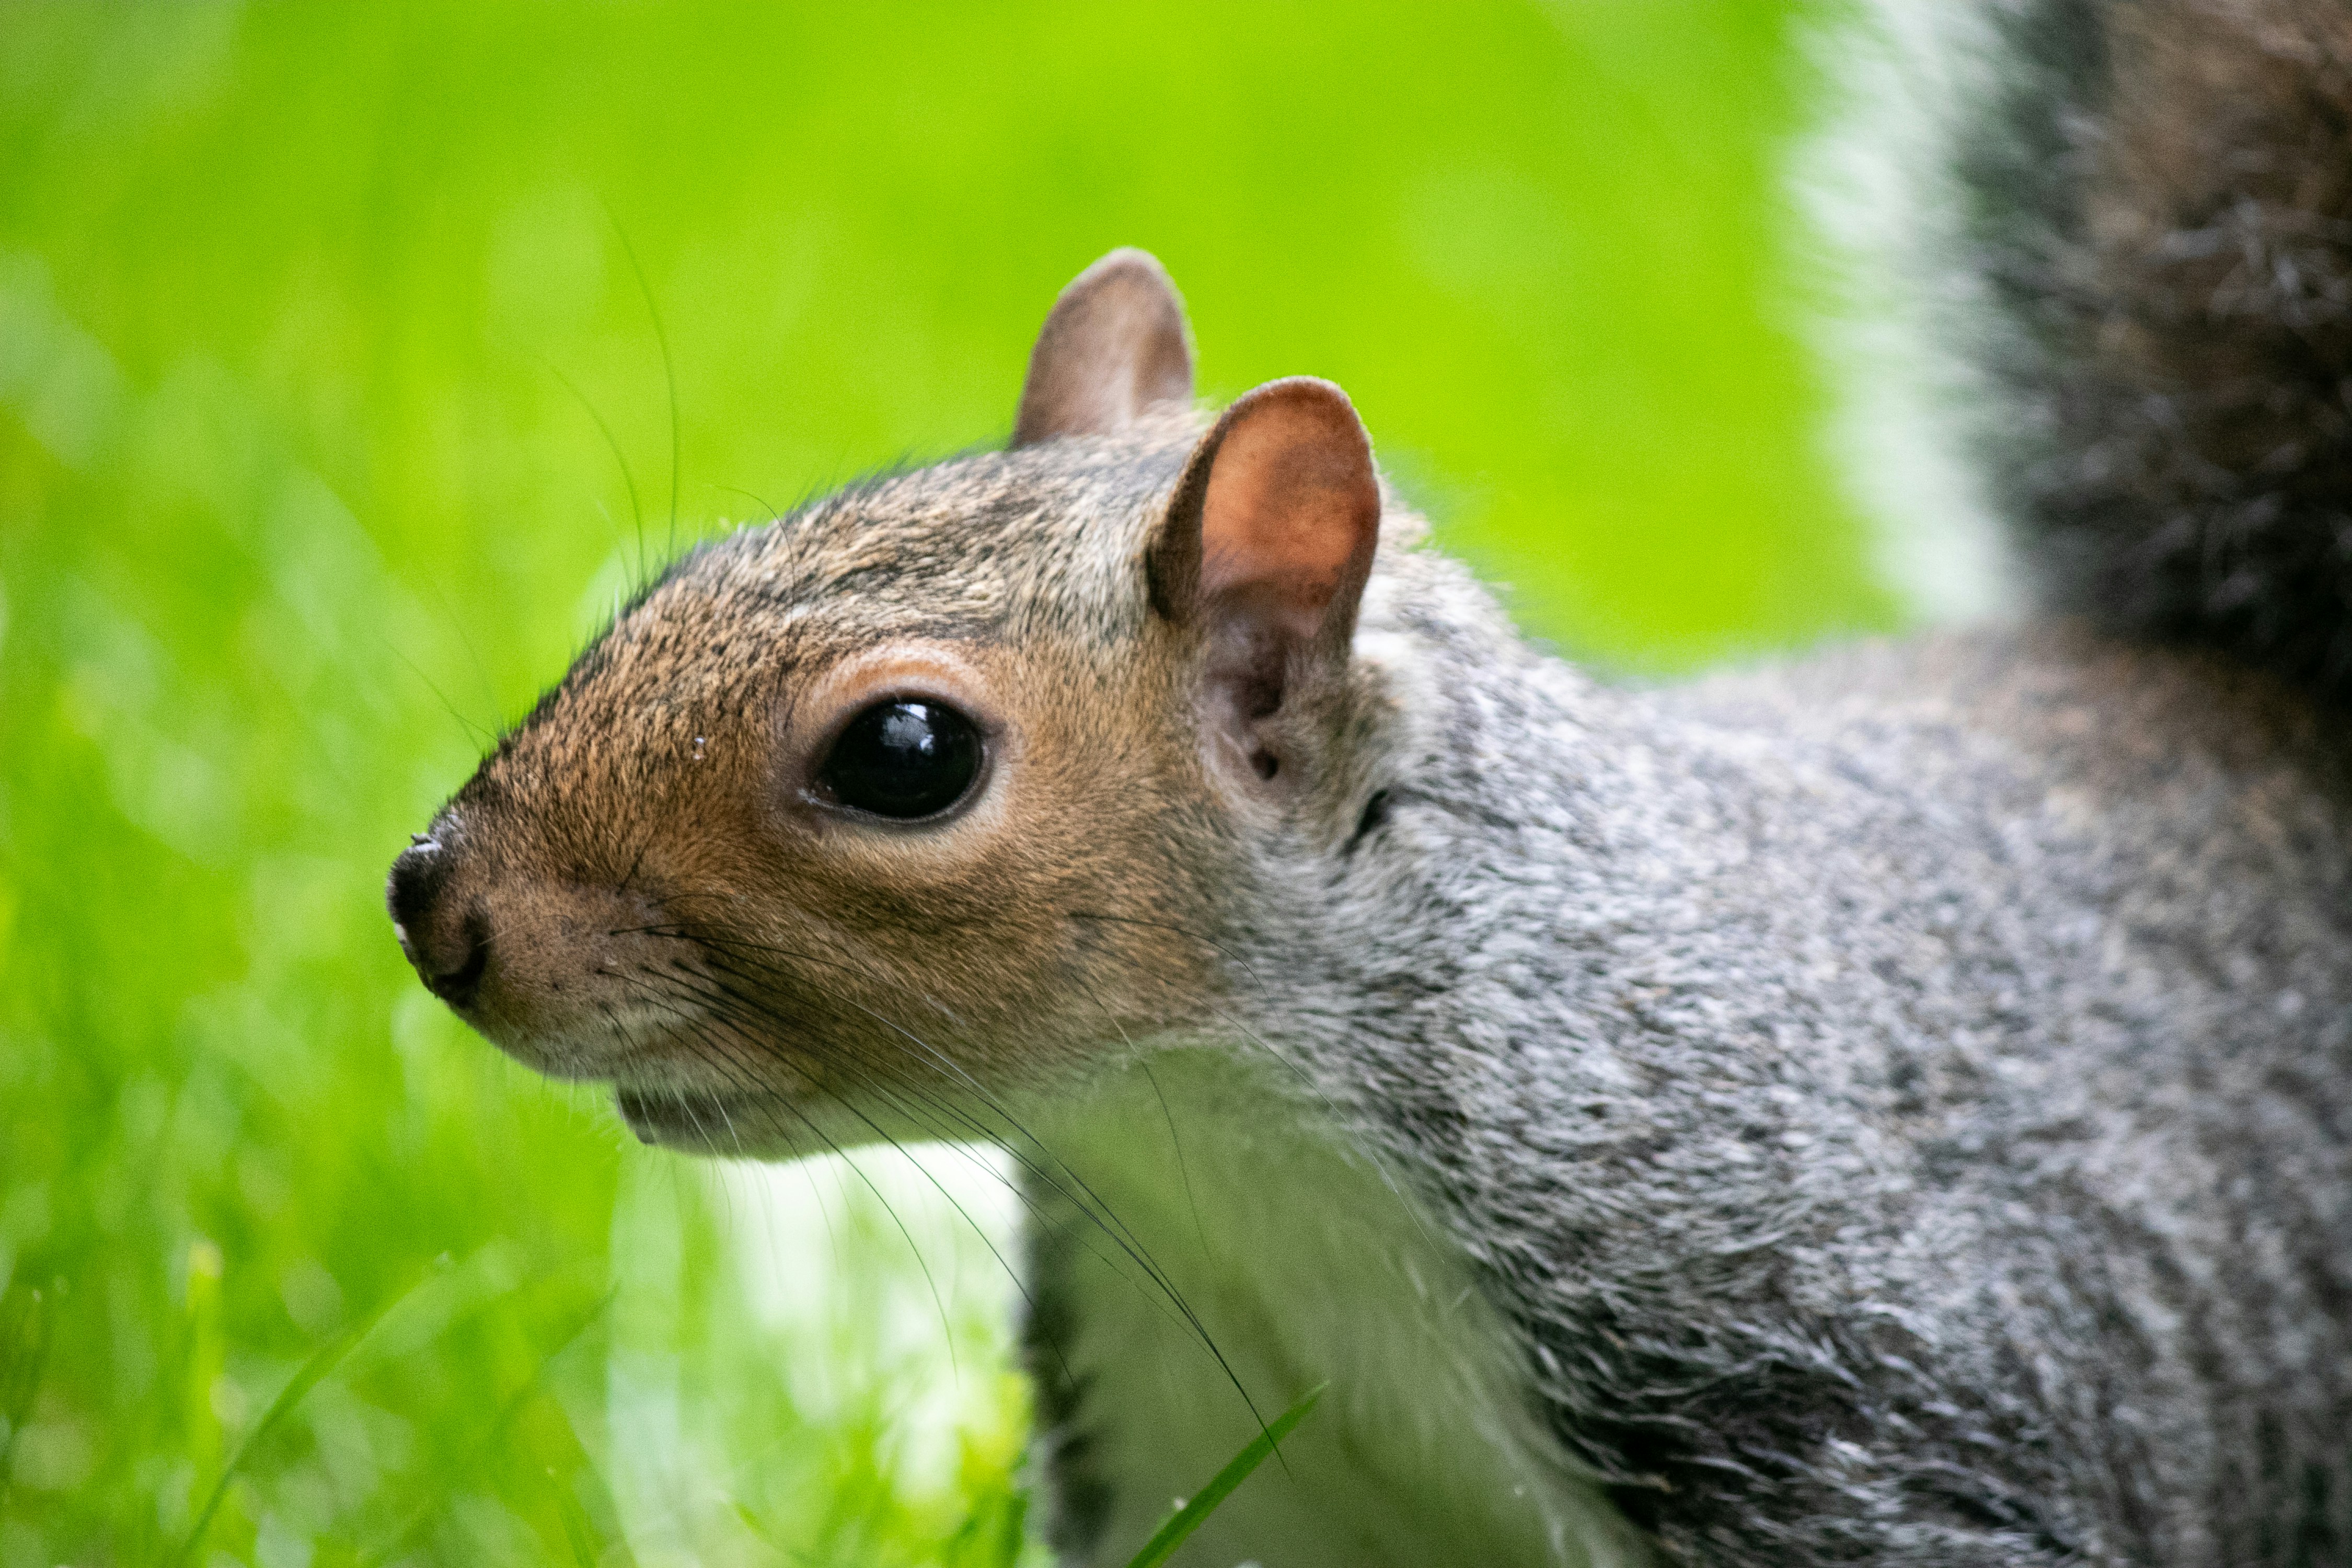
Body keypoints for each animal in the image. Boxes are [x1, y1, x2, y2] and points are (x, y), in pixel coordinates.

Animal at [386, 0, 2352, 1563]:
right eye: (681, 572)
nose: (433, 903)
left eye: (906, 754)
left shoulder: (1862, 1405)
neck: (1234, 1160)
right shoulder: (1214, 1457)